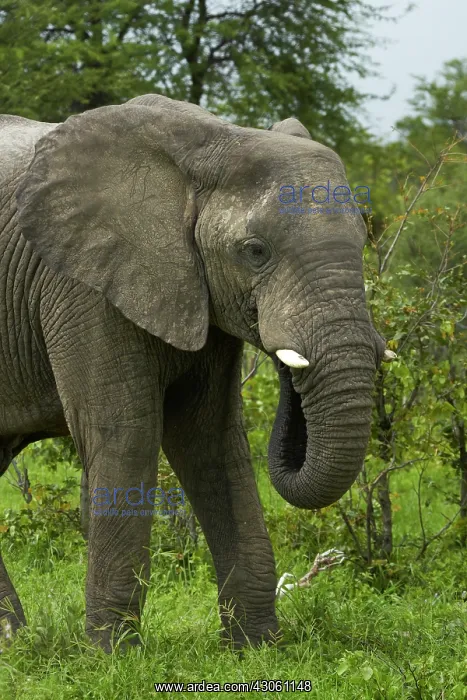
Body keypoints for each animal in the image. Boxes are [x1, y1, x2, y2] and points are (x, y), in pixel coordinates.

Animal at [0, 93, 391, 651]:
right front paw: (112, 656)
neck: (217, 140)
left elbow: (212, 439)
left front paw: (255, 649)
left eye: (363, 239)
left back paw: (12, 640)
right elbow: (126, 436)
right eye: (255, 251)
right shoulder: (81, 286)